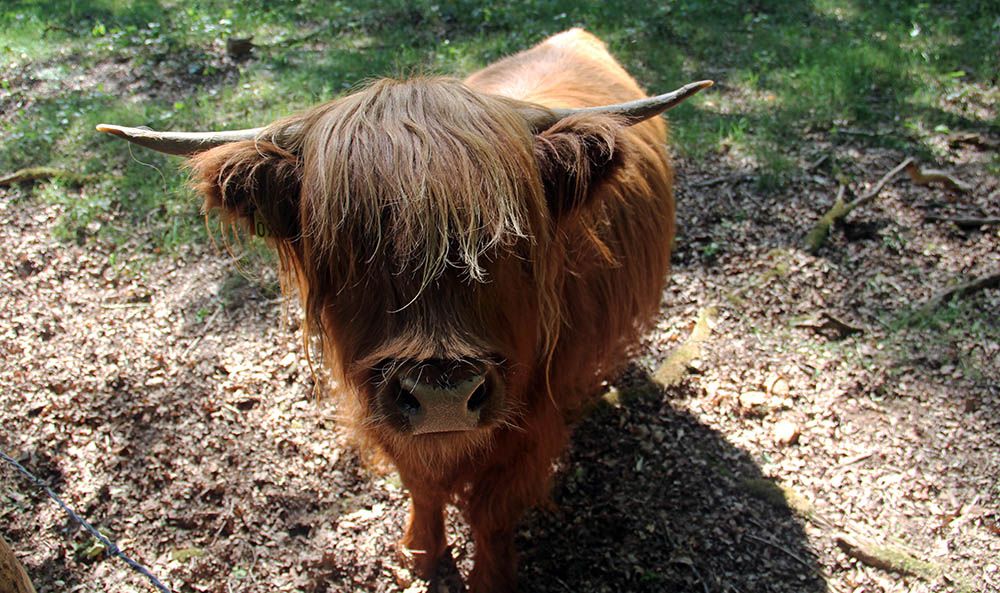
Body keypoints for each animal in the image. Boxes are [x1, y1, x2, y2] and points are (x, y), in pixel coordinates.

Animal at [99, 28, 712, 592]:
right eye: (348, 247)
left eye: (509, 239)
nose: (443, 396)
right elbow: (420, 481)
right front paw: (420, 552)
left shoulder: (533, 418)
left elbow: (493, 508)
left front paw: (489, 579)